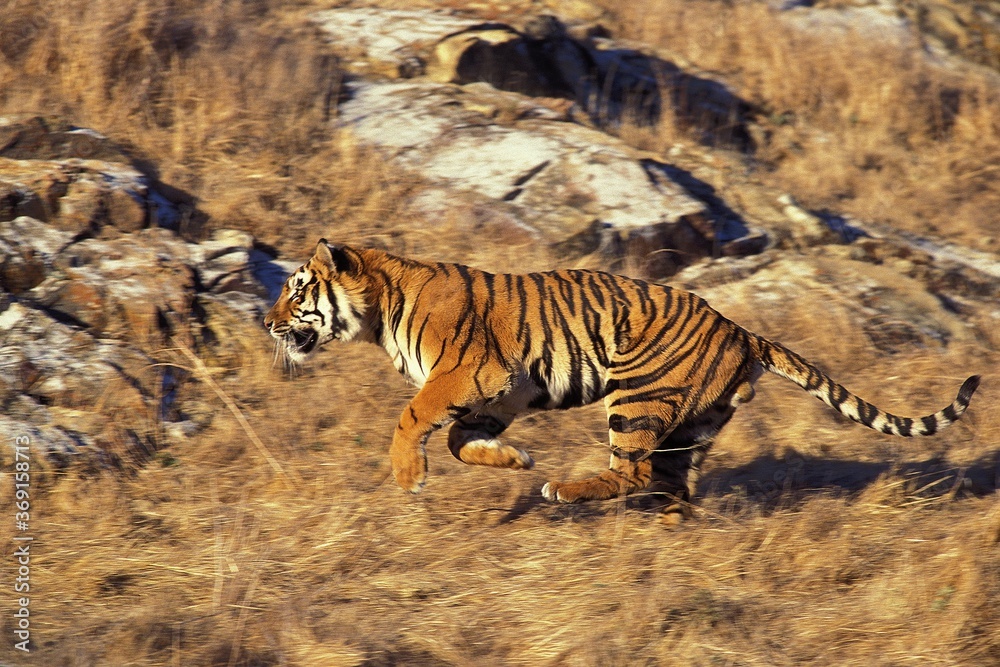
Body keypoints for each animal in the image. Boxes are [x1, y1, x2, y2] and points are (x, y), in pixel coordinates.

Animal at [263, 240, 980, 518]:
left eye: (297, 289)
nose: (266, 323)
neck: (381, 311)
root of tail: (739, 329)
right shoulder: (503, 389)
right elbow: (458, 439)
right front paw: (512, 458)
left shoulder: (469, 371)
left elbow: (414, 418)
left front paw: (408, 476)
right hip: (692, 425)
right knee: (672, 485)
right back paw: (662, 532)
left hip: (637, 394)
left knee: (632, 472)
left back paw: (564, 490)